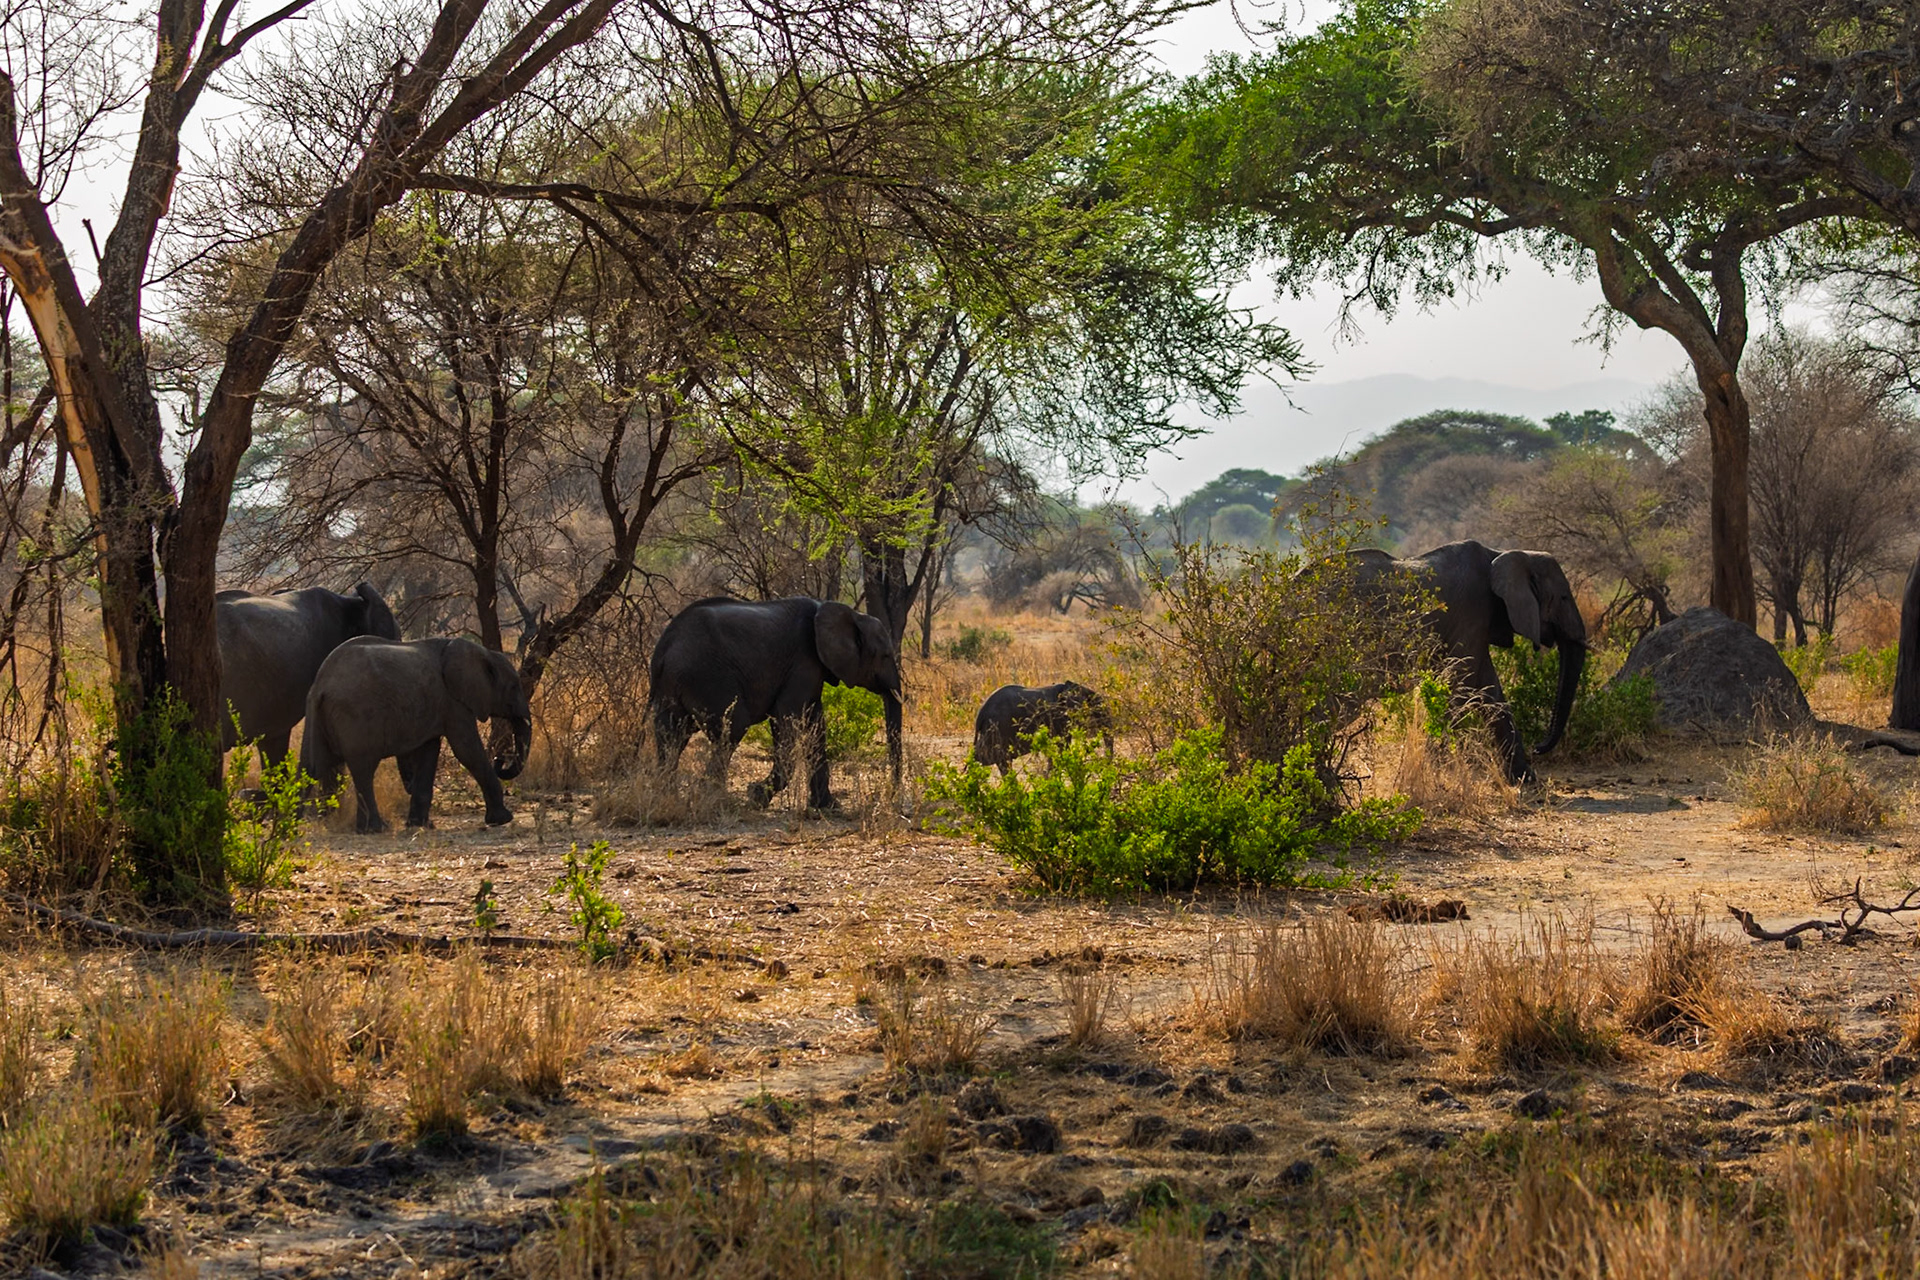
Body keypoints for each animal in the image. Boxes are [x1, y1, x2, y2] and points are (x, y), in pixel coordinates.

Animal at [301, 636, 531, 832]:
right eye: (514, 686)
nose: (500, 759)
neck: (484, 653)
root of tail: (320, 685)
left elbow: (429, 751)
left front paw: (419, 825)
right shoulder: (454, 702)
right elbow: (466, 750)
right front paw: (502, 820)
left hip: (317, 716)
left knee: (309, 768)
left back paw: (296, 828)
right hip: (356, 716)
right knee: (364, 770)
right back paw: (376, 829)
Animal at [649, 596, 904, 809]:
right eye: (885, 656)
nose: (888, 797)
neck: (848, 613)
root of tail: (665, 647)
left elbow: (816, 726)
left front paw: (827, 807)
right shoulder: (803, 661)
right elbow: (786, 717)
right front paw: (756, 796)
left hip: (672, 685)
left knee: (670, 736)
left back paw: (668, 798)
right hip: (708, 677)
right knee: (731, 729)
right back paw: (712, 800)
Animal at [972, 681, 1112, 773]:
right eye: (1090, 702)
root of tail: (980, 715)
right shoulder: (1060, 718)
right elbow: (1062, 744)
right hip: (998, 729)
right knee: (998, 758)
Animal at [1347, 539, 1587, 784]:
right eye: (1564, 597)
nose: (1538, 747)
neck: (1502, 554)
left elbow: (1490, 691)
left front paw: (1525, 779)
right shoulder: (1472, 612)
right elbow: (1461, 686)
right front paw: (1434, 772)